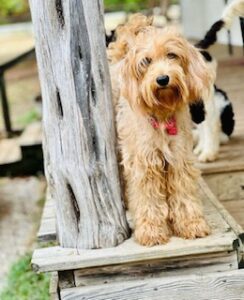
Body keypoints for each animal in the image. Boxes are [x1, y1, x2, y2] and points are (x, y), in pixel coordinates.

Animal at [107, 15, 214, 246]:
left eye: (171, 55)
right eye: (146, 61)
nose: (163, 79)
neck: (162, 114)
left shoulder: (179, 159)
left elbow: (183, 193)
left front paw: (191, 224)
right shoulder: (144, 162)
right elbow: (148, 199)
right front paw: (151, 230)